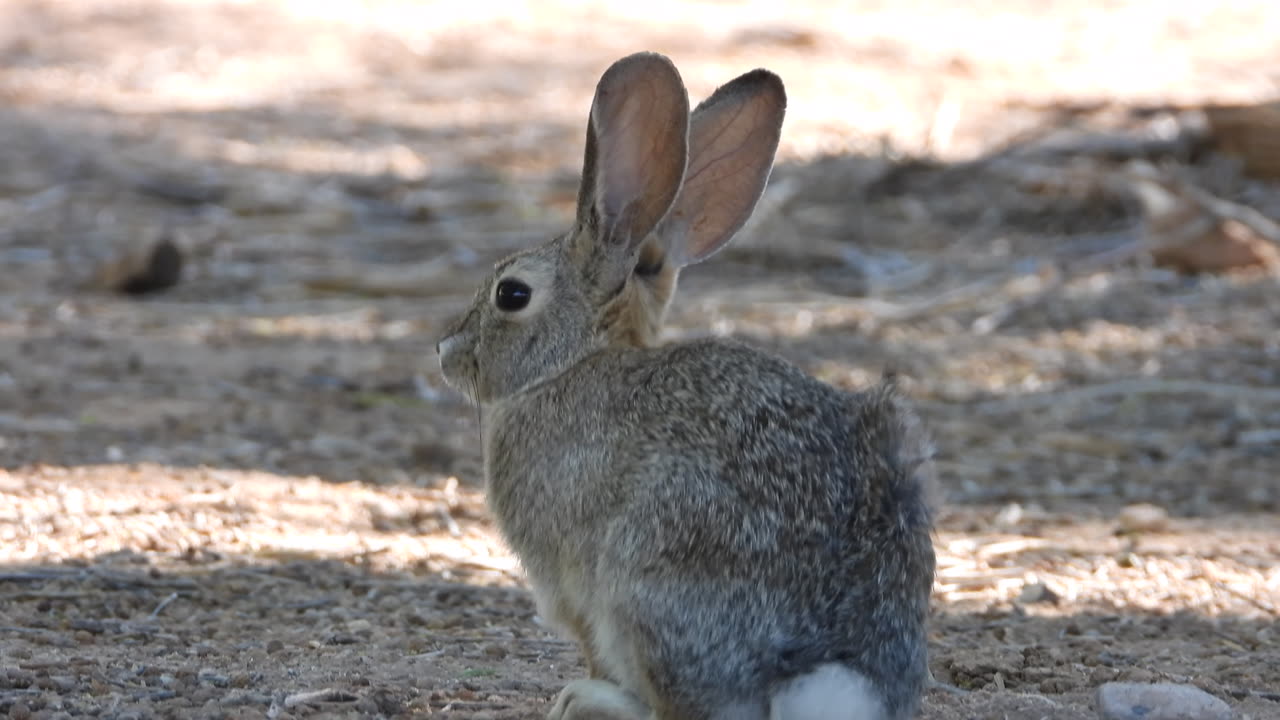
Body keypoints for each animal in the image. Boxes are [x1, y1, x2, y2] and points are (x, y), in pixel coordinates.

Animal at [435, 51, 936, 717]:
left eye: (511, 295)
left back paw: (585, 699)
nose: (445, 352)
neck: (577, 360)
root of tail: (818, 668)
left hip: (644, 579)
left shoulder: (570, 585)